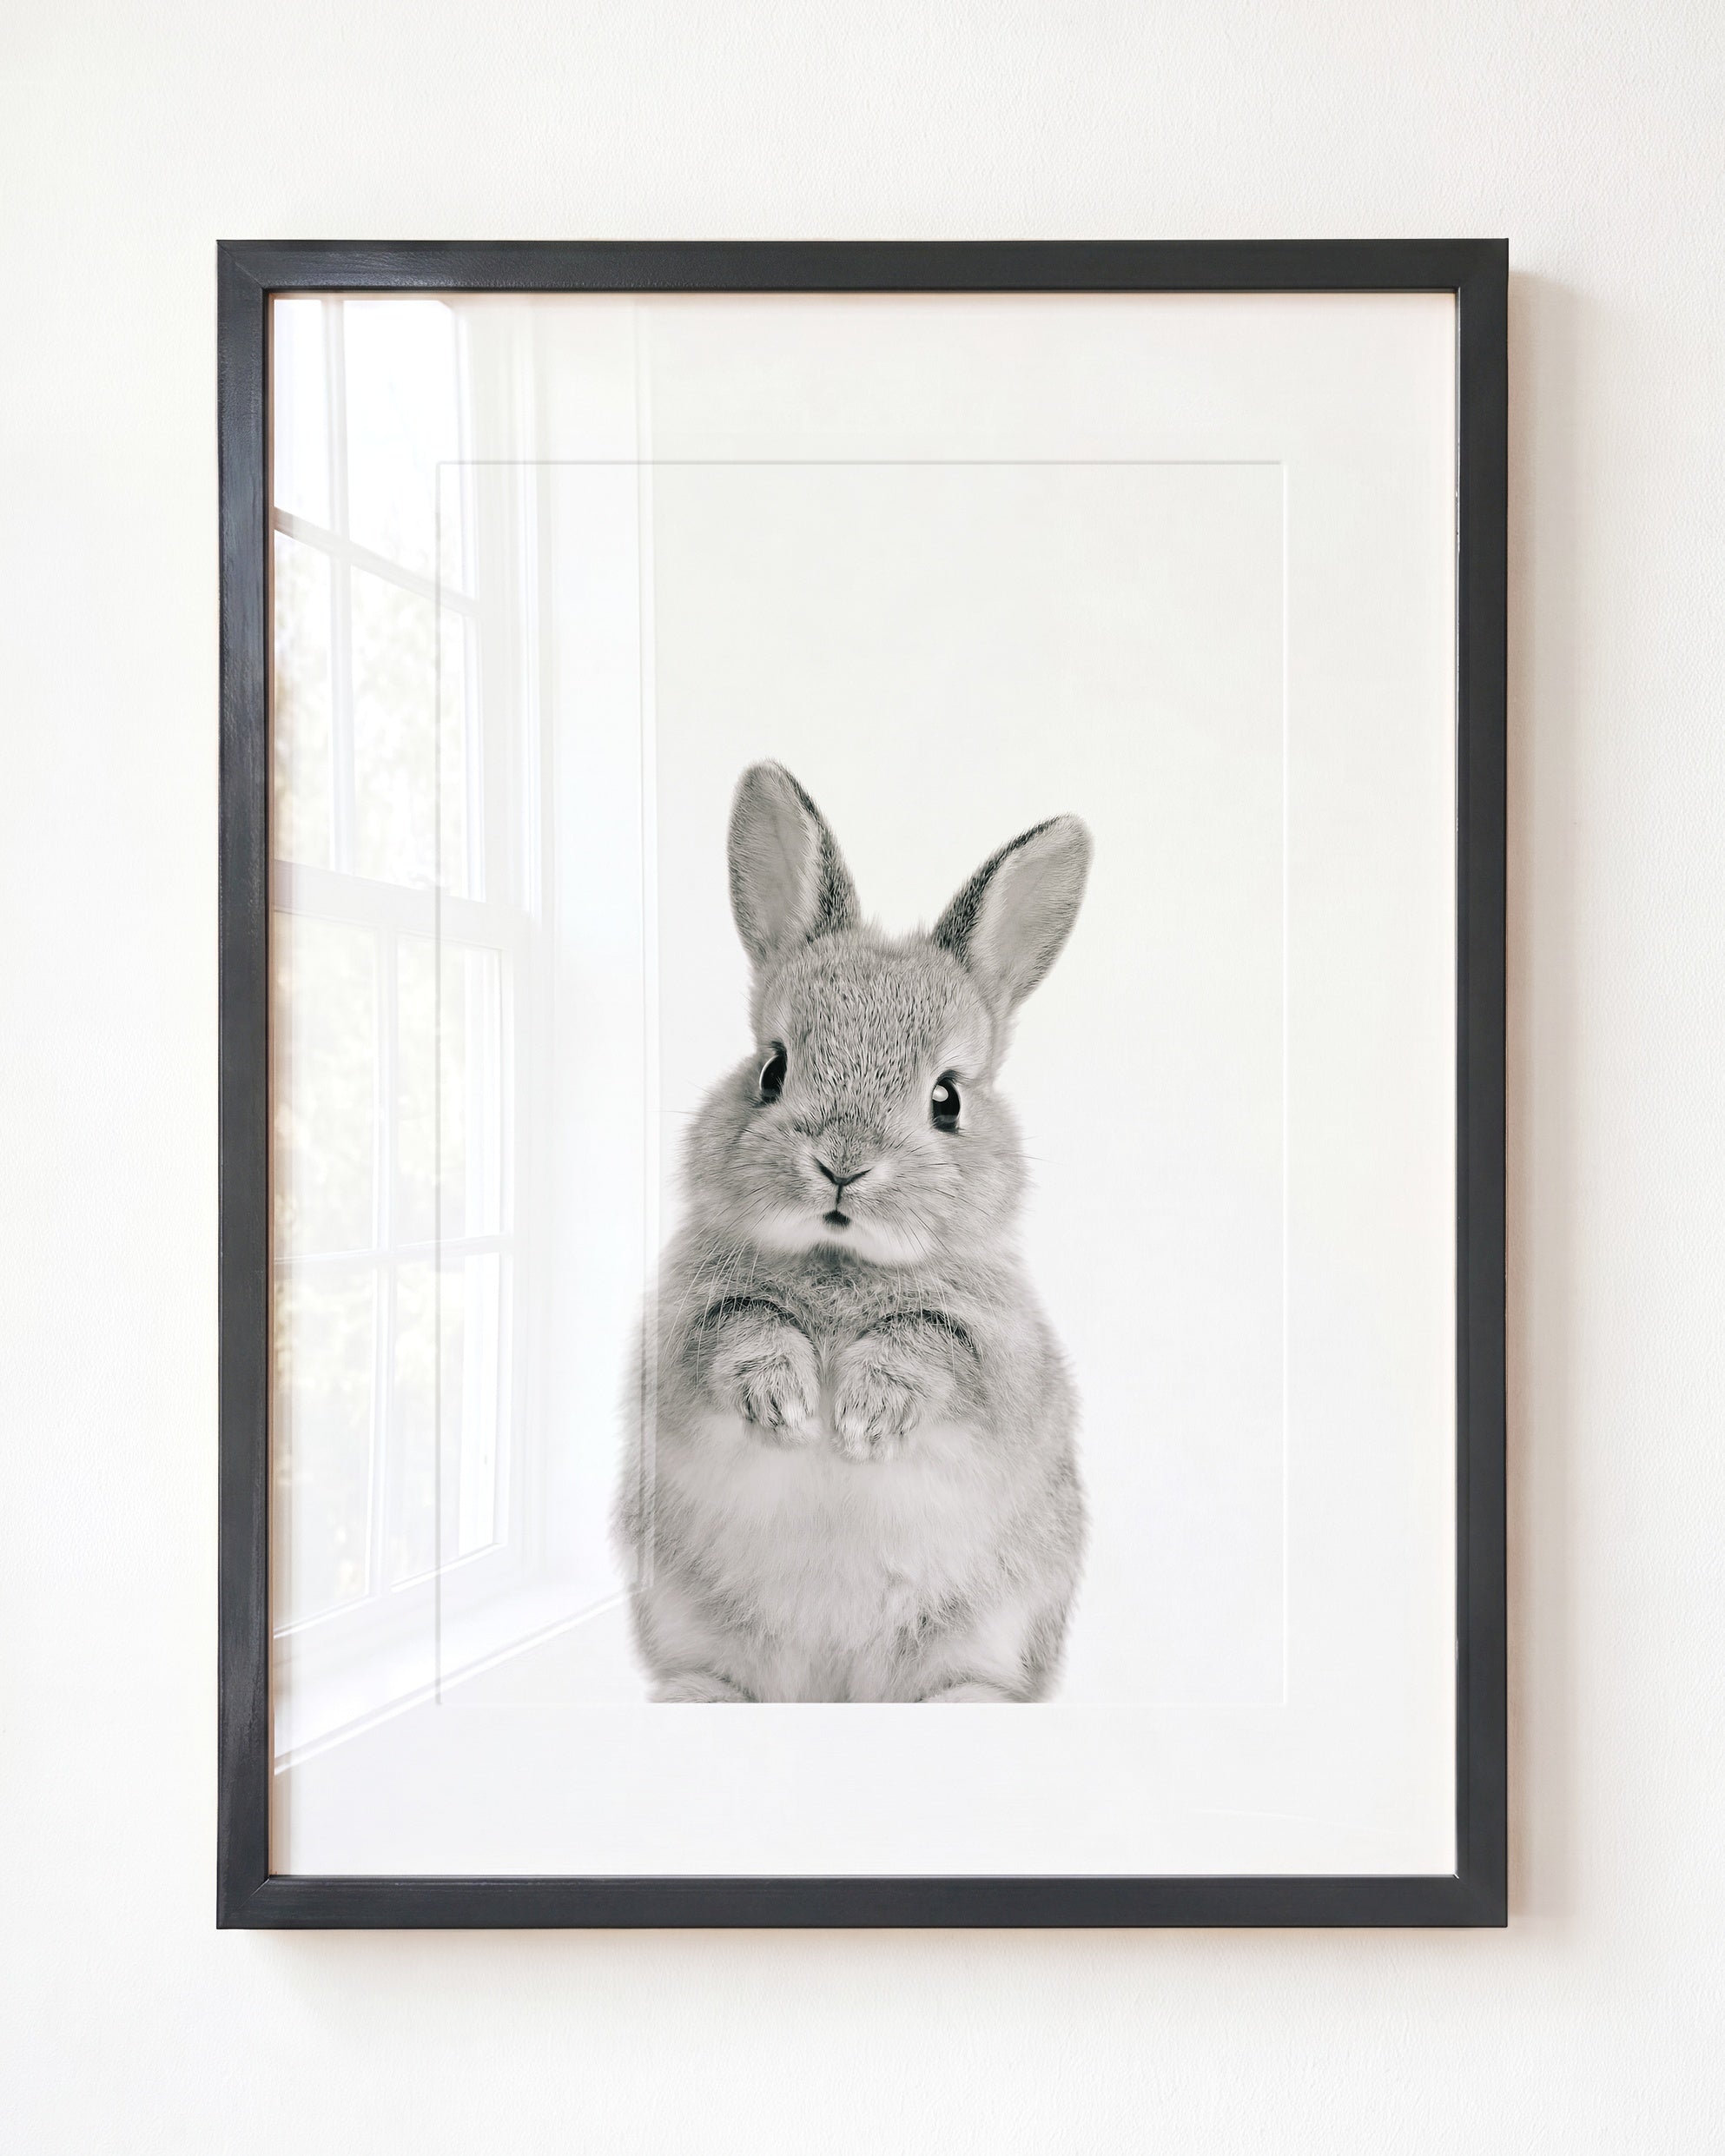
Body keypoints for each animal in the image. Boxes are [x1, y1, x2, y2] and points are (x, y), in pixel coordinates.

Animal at [618, 761, 1091, 1702]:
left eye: (947, 1098)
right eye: (772, 1068)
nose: (842, 1164)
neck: (839, 1260)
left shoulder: (999, 1360)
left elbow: (931, 1344)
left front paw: (865, 1416)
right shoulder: (684, 1337)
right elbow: (741, 1327)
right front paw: (787, 1402)